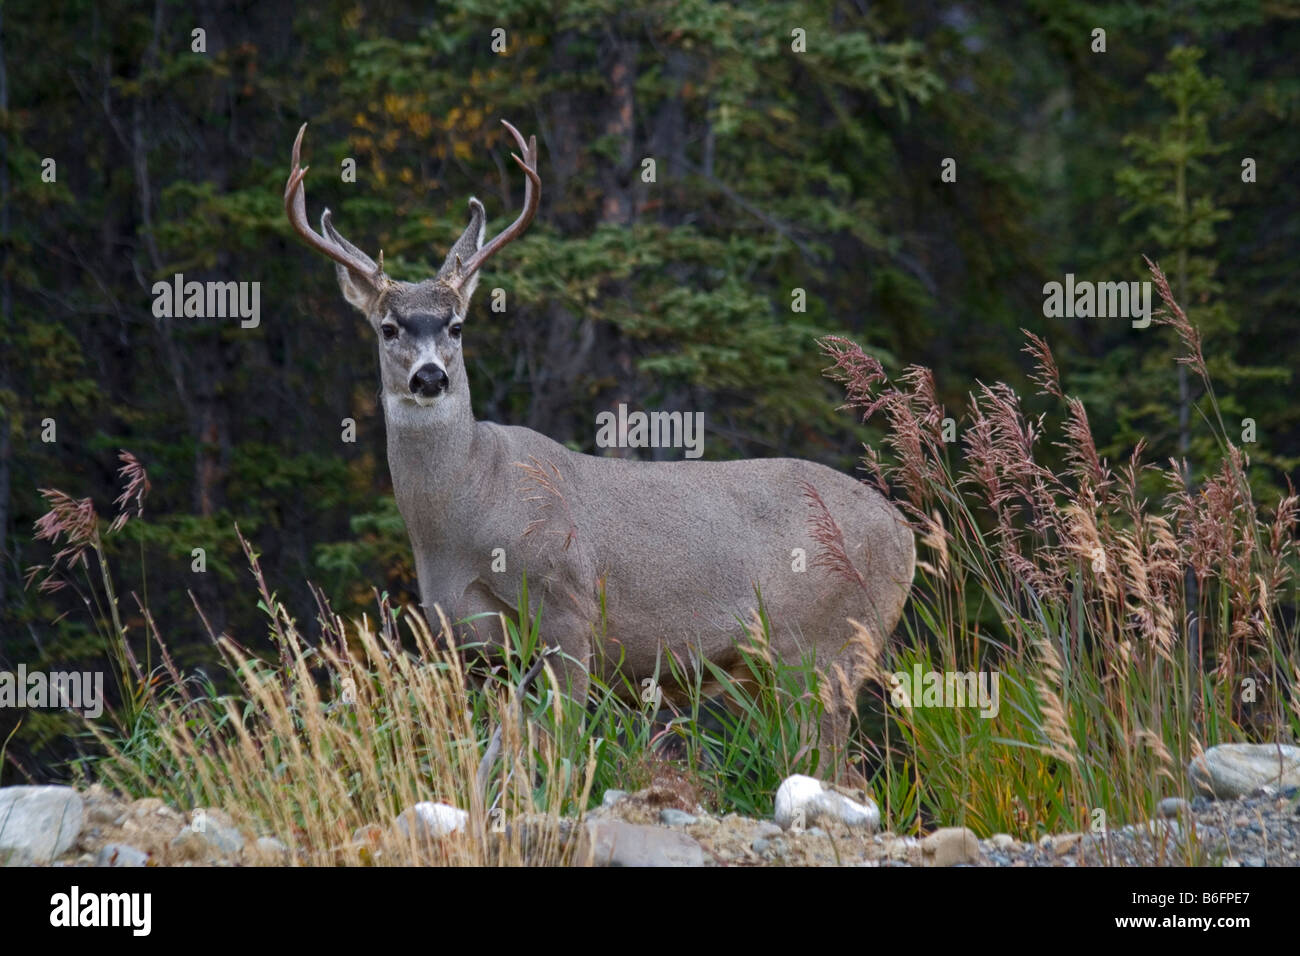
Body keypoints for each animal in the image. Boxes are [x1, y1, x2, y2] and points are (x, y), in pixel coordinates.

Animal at [283, 119, 915, 781]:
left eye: (456, 325)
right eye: (387, 328)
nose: (430, 377)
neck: (471, 504)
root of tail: (907, 533)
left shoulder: (570, 605)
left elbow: (560, 746)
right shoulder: (469, 642)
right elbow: (502, 752)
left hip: (824, 644)